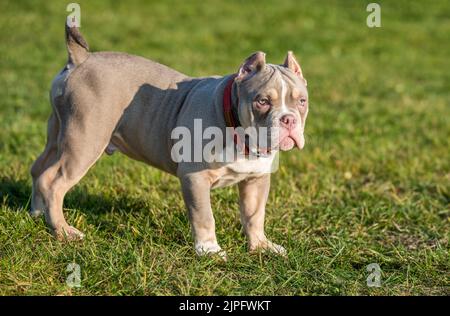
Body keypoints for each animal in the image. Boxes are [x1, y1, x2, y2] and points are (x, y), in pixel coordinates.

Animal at [29, 22, 308, 260]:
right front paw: (209, 250)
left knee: (39, 169)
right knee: (54, 183)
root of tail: (81, 59)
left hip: (59, 133)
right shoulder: (195, 177)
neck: (238, 129)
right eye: (263, 101)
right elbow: (204, 216)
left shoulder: (256, 179)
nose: (288, 119)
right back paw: (63, 231)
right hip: (84, 139)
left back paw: (38, 214)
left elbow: (254, 214)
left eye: (302, 101)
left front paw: (261, 246)